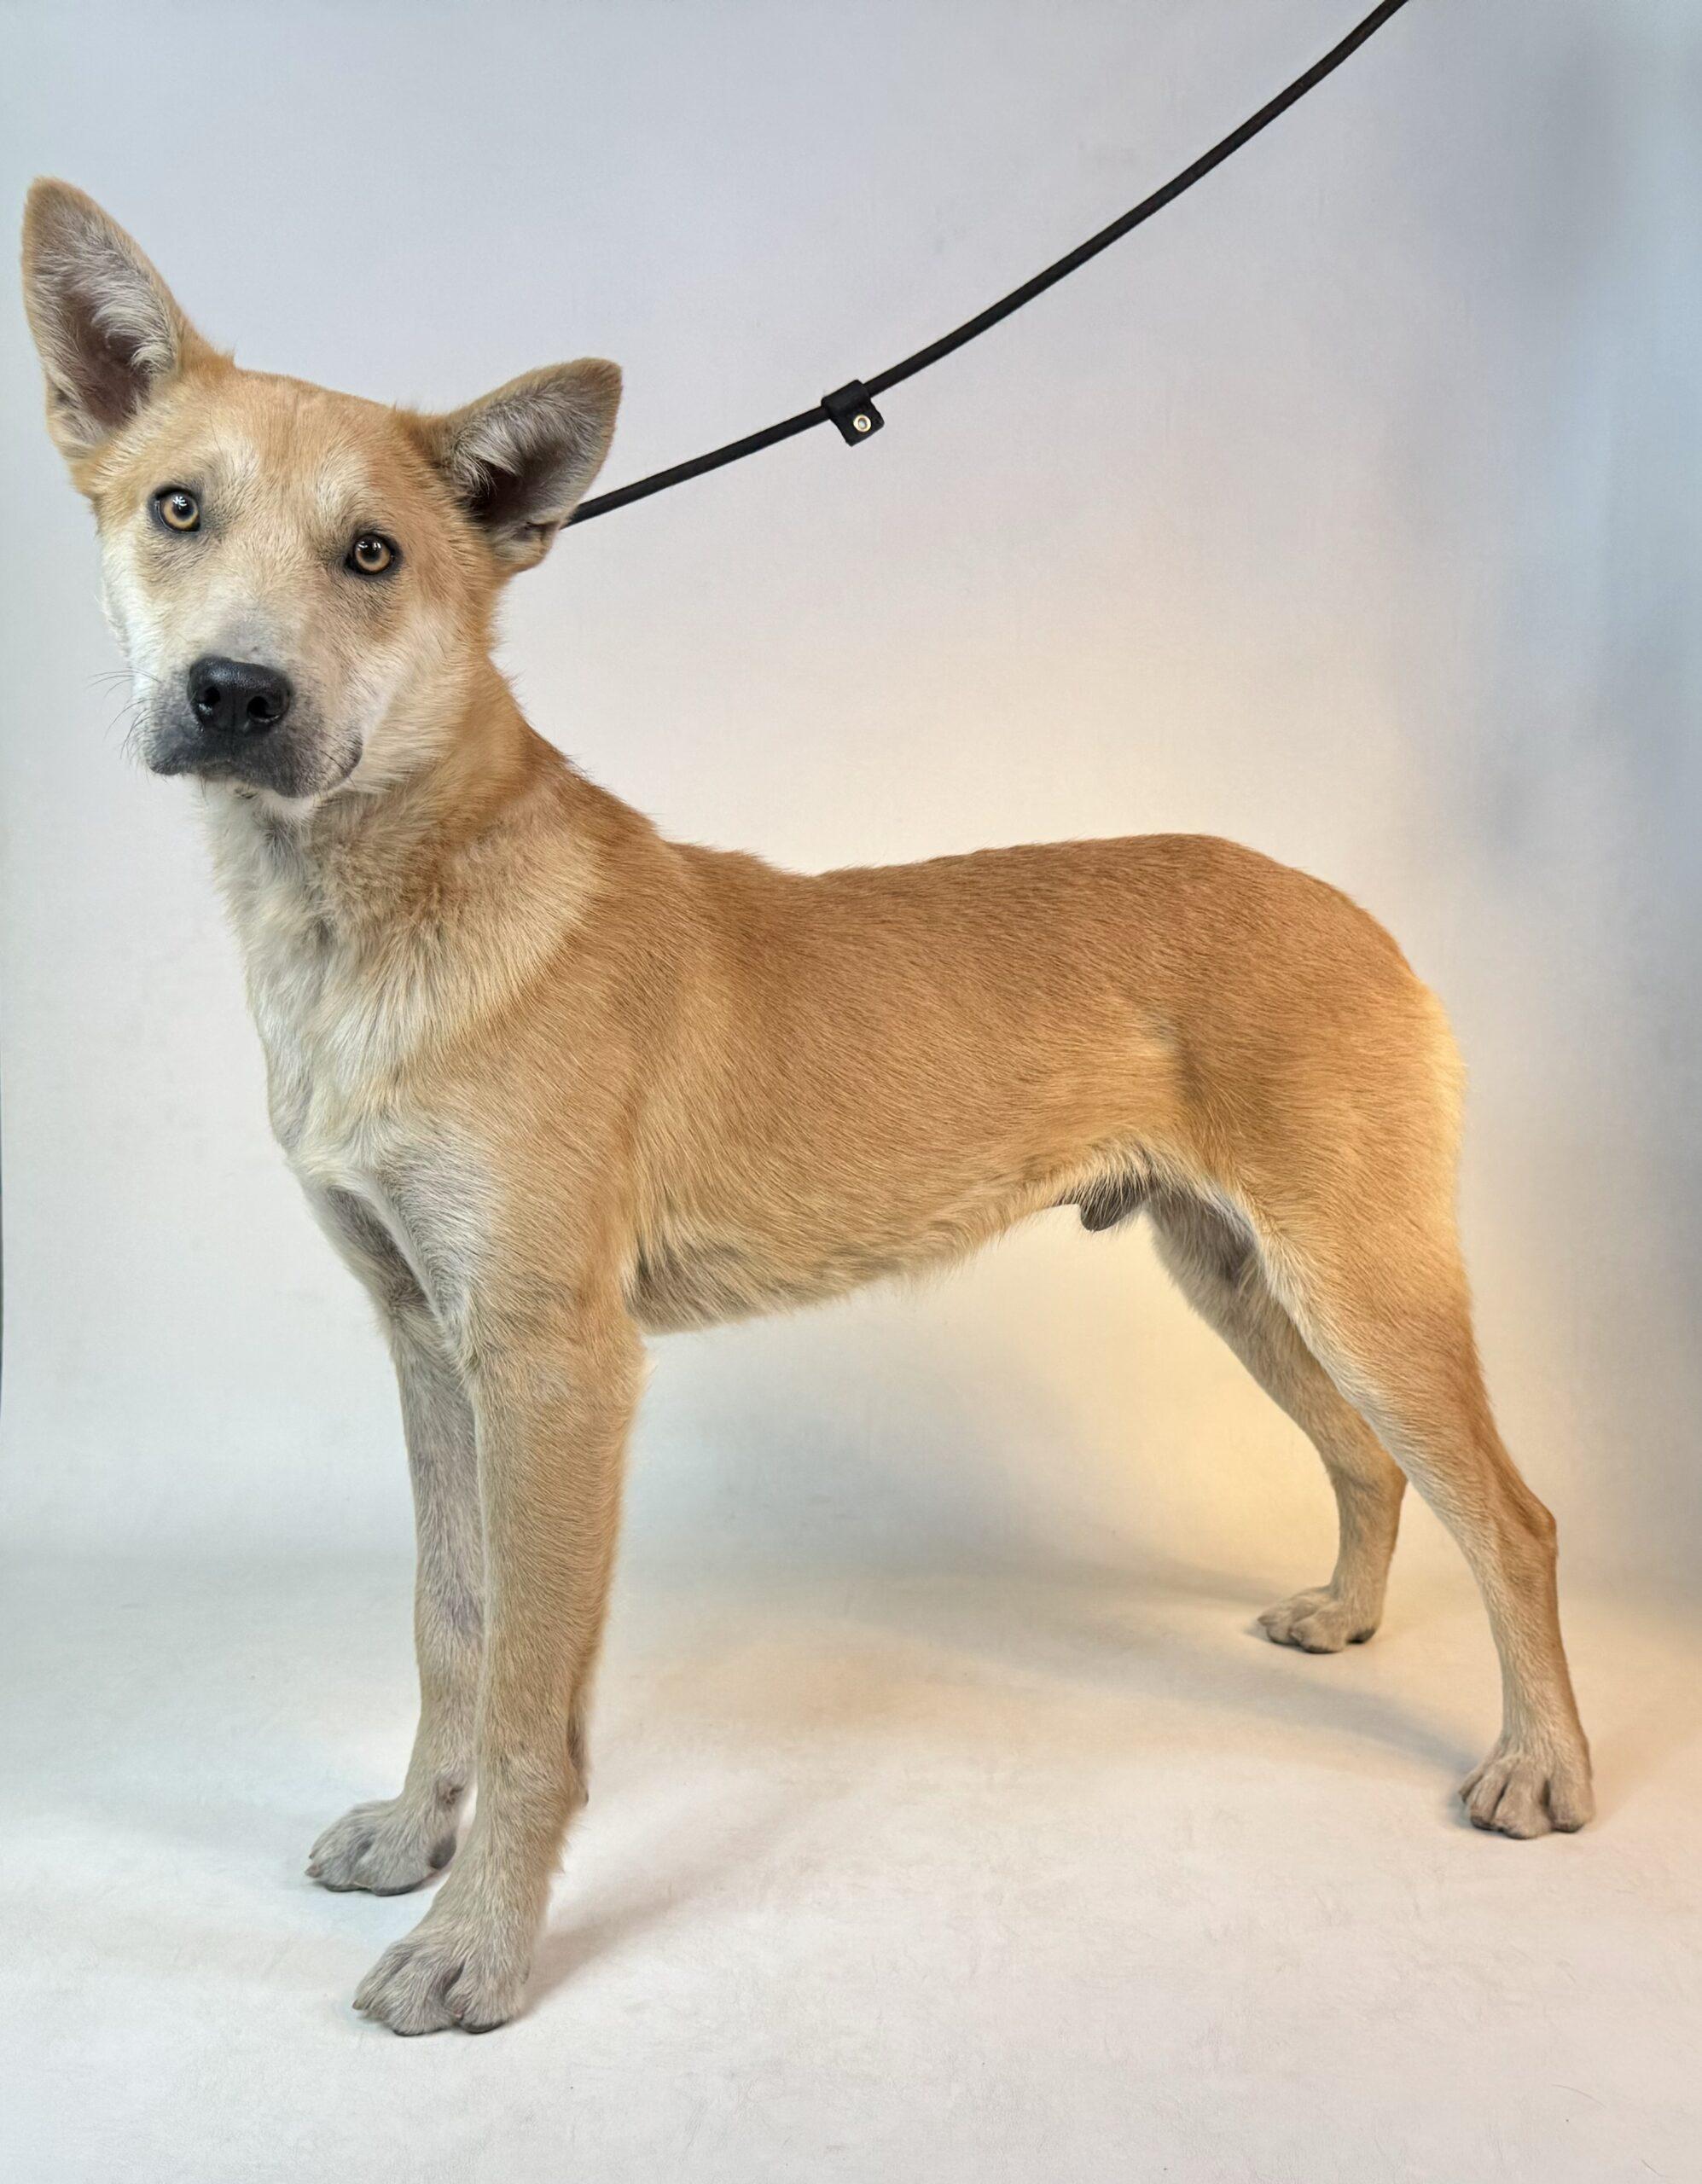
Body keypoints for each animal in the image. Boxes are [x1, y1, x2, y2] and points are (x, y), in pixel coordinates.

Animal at [20, 178, 1599, 2035]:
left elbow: (534, 1694)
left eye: (375, 556)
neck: (394, 904)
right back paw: (1345, 1620)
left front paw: (479, 1947)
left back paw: (1542, 1765)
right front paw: (418, 1837)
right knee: (1365, 1463)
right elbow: (448, 1624)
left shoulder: (555, 1365)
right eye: (176, 509)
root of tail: (1343, 905)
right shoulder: (424, 1339)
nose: (235, 696)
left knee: (1510, 1514)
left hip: (1363, 1276)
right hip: (1232, 1272)